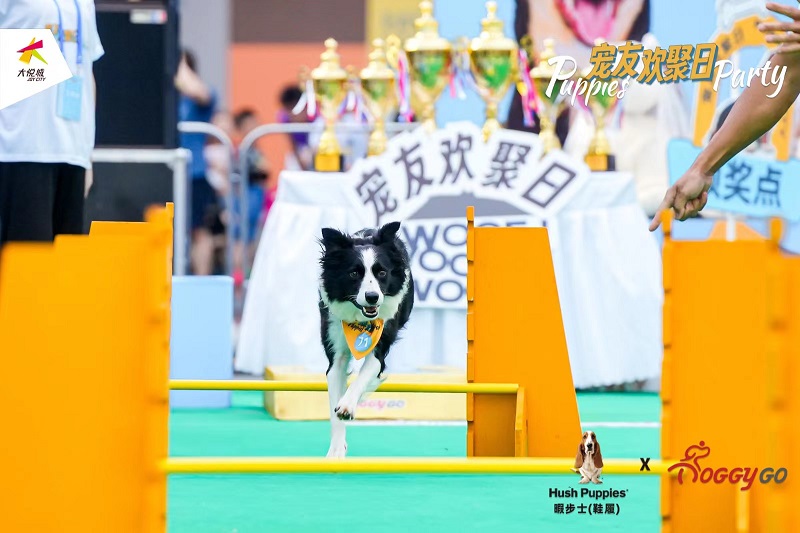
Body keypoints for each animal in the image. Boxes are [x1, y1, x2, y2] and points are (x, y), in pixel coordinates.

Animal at [318, 221, 414, 458]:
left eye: (382, 272)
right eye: (354, 273)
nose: (372, 297)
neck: (360, 320)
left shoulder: (379, 347)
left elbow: (361, 379)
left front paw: (347, 405)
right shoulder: (336, 355)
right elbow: (335, 406)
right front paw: (336, 450)